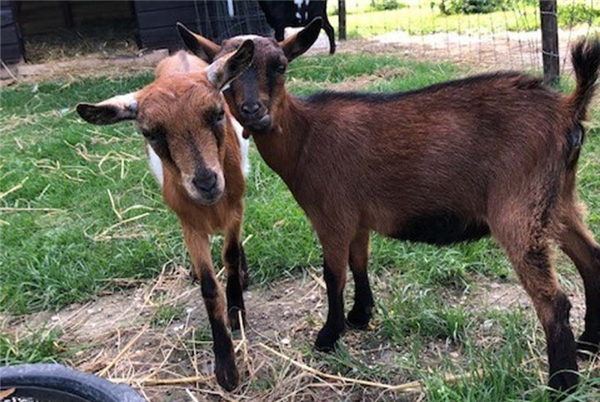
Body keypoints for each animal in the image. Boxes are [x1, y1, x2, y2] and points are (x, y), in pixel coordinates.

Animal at [75, 45, 253, 392]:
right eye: (150, 132)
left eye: (217, 114)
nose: (206, 182)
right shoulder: (189, 222)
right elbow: (209, 288)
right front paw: (226, 368)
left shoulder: (236, 208)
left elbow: (230, 255)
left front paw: (237, 308)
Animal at [180, 19, 600, 392]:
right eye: (226, 75)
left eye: (280, 66)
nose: (255, 112)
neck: (304, 136)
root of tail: (567, 109)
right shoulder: (358, 216)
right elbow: (359, 262)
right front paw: (360, 314)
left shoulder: (332, 215)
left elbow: (334, 274)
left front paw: (329, 335)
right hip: (557, 200)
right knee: (591, 259)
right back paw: (589, 345)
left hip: (518, 209)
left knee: (554, 302)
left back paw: (561, 384)